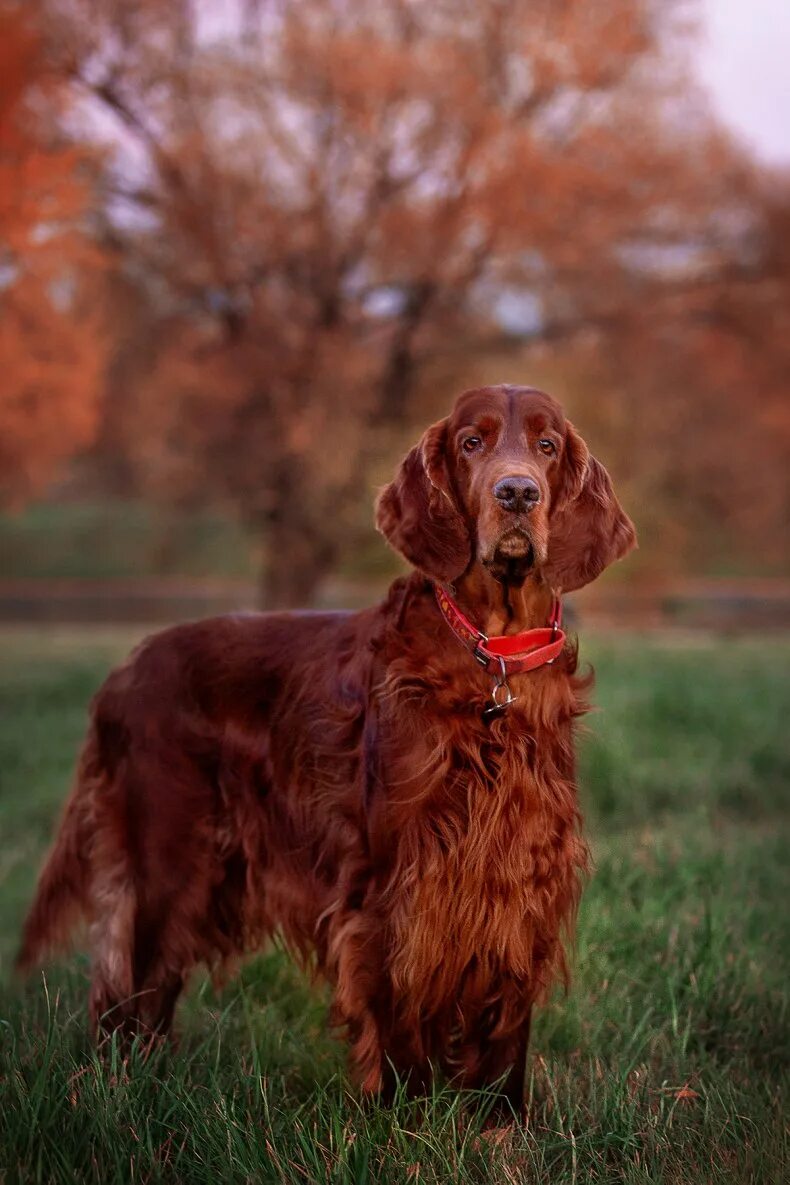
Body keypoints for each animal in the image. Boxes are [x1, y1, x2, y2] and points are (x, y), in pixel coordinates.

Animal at [17, 381, 634, 1109]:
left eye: (547, 445)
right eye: (471, 442)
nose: (516, 493)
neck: (492, 660)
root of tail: (125, 671)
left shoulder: (522, 870)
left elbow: (506, 1019)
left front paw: (499, 1120)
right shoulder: (395, 876)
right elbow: (398, 1009)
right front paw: (404, 1115)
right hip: (165, 862)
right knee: (123, 992)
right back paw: (116, 1096)